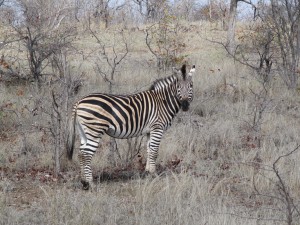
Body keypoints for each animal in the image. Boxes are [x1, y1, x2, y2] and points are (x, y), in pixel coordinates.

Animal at [66, 63, 195, 190]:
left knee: (81, 153)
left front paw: (148, 172)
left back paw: (84, 182)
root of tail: (79, 102)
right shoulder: (157, 127)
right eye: (178, 86)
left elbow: (149, 150)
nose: (185, 105)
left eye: (191, 86)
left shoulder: (150, 131)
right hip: (95, 130)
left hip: (84, 131)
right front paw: (154, 174)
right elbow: (154, 151)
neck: (162, 102)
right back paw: (90, 183)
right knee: (86, 154)